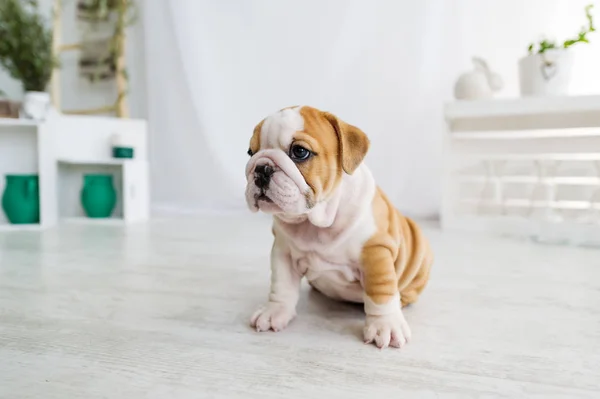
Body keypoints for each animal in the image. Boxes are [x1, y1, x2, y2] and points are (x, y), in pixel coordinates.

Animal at [244, 106, 432, 350]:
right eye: (250, 152)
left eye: (300, 152)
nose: (261, 167)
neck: (317, 220)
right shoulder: (282, 252)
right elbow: (282, 284)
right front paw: (275, 311)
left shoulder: (376, 252)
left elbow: (381, 292)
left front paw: (385, 325)